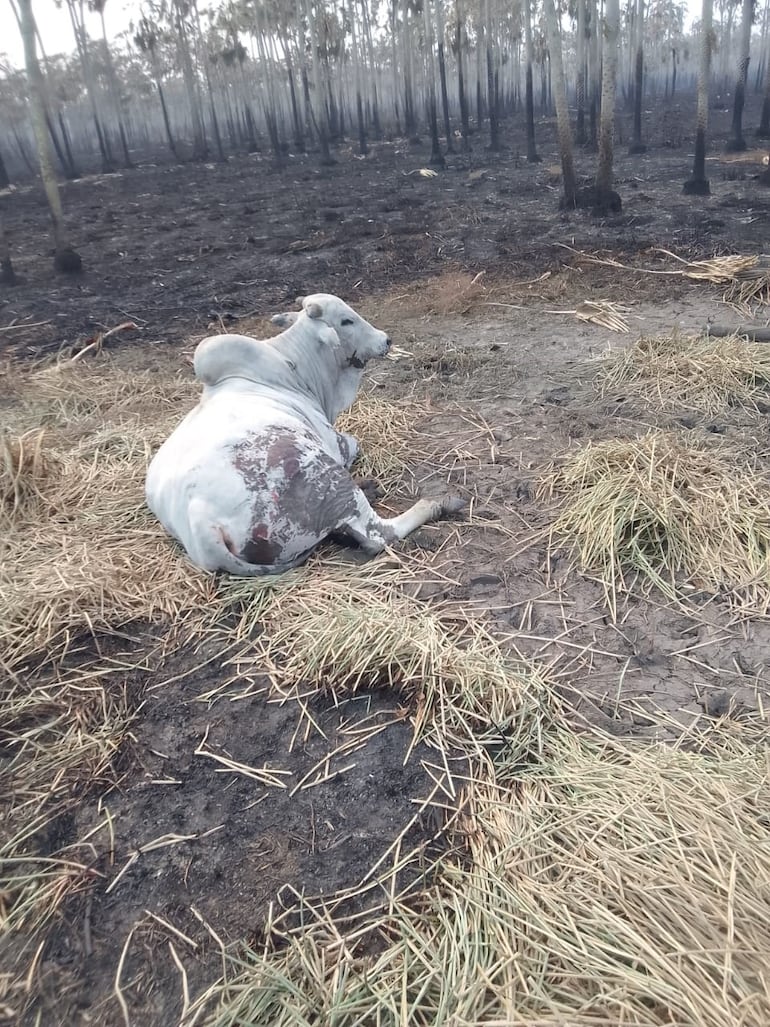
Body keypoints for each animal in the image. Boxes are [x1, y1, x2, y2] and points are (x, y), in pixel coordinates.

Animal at [147, 293, 468, 575]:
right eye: (346, 321)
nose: (385, 340)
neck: (295, 369)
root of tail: (203, 527)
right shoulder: (333, 443)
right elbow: (353, 443)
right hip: (328, 478)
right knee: (377, 535)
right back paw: (439, 502)